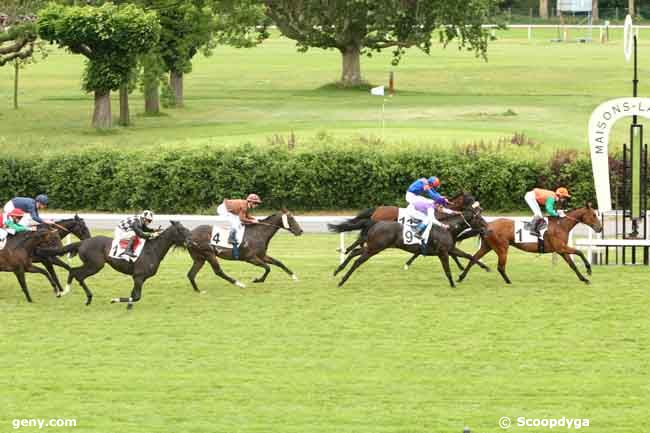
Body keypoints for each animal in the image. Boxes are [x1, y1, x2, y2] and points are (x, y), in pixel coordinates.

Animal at [332, 198, 484, 286]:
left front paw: (483, 267)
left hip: (373, 246)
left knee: (355, 251)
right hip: (375, 248)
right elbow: (447, 269)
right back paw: (342, 280)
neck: (447, 228)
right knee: (357, 260)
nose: (486, 227)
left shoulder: (450, 249)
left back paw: (338, 269)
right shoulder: (443, 252)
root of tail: (376, 221)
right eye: (479, 218)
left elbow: (469, 256)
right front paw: (453, 283)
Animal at [456, 204, 604, 286]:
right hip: (502, 248)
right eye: (593, 214)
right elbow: (579, 252)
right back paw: (509, 281)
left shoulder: (561, 250)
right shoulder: (561, 247)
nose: (600, 228)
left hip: (487, 246)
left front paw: (584, 279)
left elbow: (572, 265)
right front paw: (589, 270)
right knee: (500, 267)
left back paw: (461, 277)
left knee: (473, 259)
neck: (560, 225)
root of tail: (487, 225)